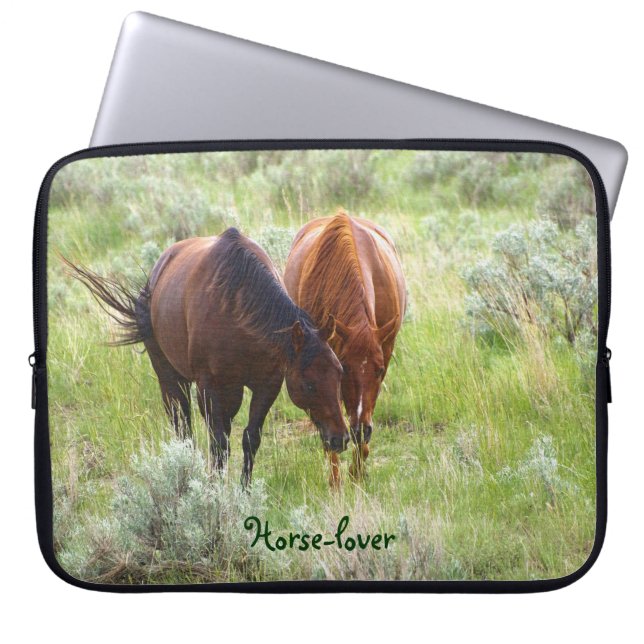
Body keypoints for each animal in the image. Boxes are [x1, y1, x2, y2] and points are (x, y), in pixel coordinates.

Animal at [64, 227, 350, 487]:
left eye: (339, 375)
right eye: (309, 384)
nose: (341, 438)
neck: (236, 309)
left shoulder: (266, 386)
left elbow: (250, 438)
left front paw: (244, 491)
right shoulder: (208, 387)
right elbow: (218, 442)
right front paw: (214, 489)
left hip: (230, 392)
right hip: (171, 380)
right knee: (182, 426)